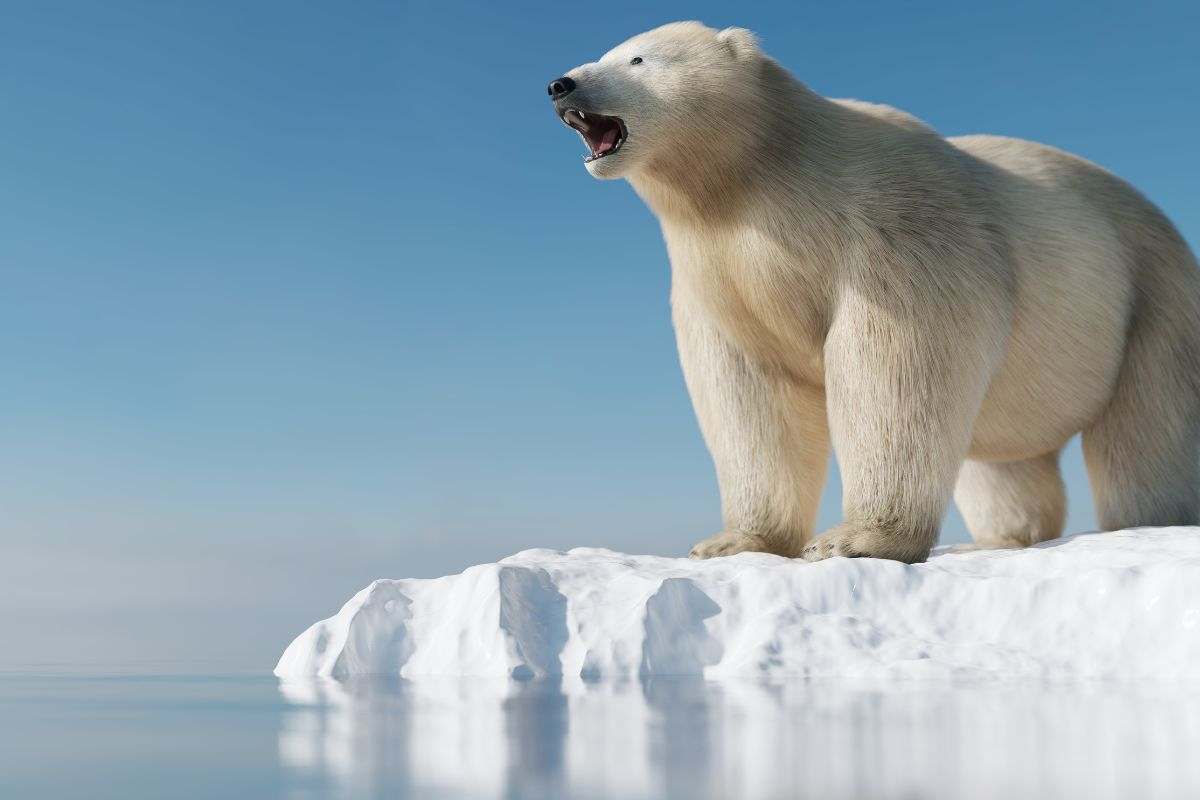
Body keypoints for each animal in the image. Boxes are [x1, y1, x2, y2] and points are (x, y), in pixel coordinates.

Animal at [547, 21, 1200, 563]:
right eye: (605, 52)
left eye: (638, 58)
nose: (560, 84)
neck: (761, 178)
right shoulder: (721, 280)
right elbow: (749, 394)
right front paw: (732, 542)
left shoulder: (895, 228)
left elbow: (894, 365)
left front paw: (853, 539)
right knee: (1003, 459)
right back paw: (996, 541)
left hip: (1152, 292)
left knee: (1147, 430)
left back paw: (1148, 523)